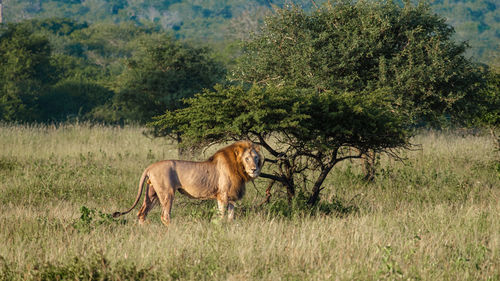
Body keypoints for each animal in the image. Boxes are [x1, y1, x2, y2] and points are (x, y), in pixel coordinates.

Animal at [112, 140, 264, 225]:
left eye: (256, 157)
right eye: (247, 159)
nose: (254, 169)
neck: (239, 169)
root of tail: (149, 167)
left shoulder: (232, 196)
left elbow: (231, 216)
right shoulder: (222, 195)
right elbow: (221, 215)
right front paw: (221, 226)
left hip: (152, 193)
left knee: (142, 213)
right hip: (167, 193)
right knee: (165, 215)